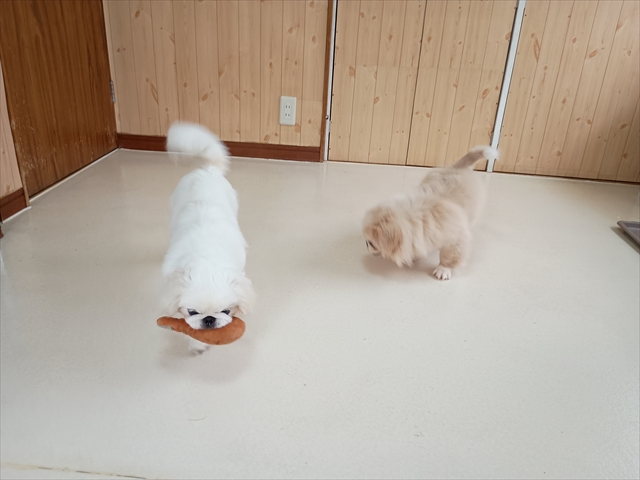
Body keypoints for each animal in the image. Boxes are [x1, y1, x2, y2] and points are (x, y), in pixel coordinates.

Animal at [163, 122, 254, 353]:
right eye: (193, 312)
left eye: (226, 311)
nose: (210, 319)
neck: (206, 259)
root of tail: (207, 170)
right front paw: (198, 344)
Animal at [362, 146, 498, 280]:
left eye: (371, 243)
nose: (366, 245)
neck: (419, 217)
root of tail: (458, 167)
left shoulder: (456, 240)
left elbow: (449, 256)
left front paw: (443, 270)